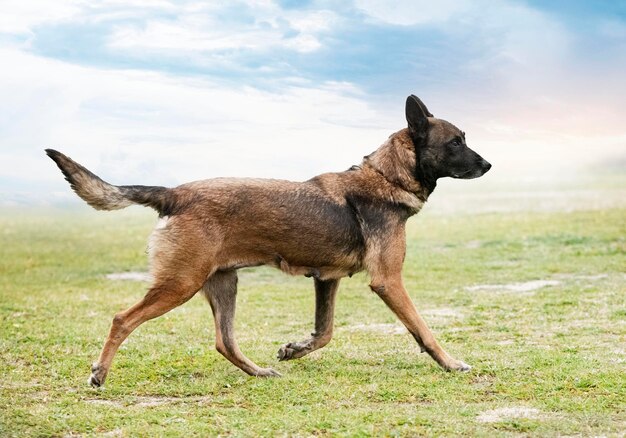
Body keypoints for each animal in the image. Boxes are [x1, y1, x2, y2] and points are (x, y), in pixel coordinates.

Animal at [46, 95, 490, 386]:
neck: (386, 177)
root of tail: (175, 193)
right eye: (456, 142)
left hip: (223, 283)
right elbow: (423, 329)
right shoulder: (388, 281)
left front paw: (294, 349)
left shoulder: (326, 280)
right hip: (181, 283)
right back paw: (100, 372)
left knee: (224, 342)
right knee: (123, 318)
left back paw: (259, 371)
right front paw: (450, 363)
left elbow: (325, 332)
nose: (488, 164)